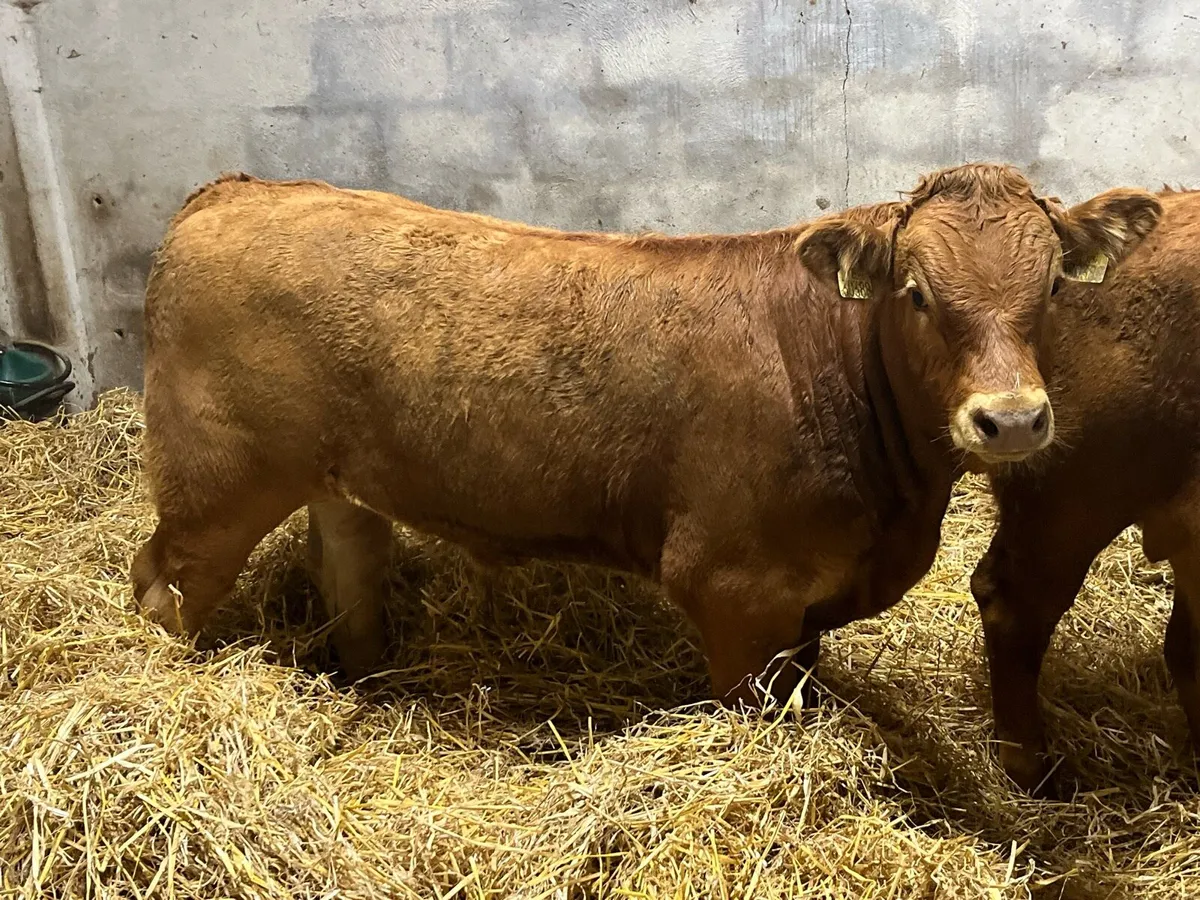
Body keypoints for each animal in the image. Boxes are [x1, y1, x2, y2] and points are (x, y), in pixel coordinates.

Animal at [130, 166, 1159, 714]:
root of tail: (236, 190)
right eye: (916, 293)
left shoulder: (804, 602)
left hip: (336, 479)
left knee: (347, 570)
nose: (1012, 418)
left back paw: (368, 681)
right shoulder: (732, 588)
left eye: (1053, 288)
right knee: (161, 588)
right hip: (214, 485)